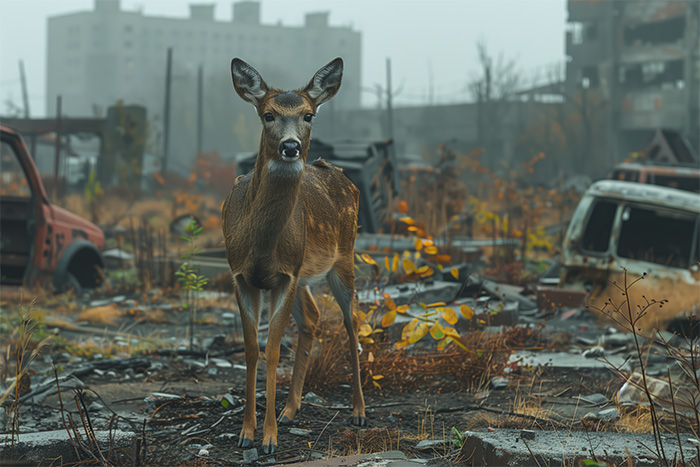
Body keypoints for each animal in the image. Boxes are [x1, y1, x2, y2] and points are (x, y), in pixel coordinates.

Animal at [221, 57, 366, 454]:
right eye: (267, 114)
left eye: (308, 115)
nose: (290, 146)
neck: (260, 245)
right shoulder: (242, 276)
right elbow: (252, 349)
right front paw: (247, 433)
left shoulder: (284, 276)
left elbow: (272, 349)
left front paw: (268, 438)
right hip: (304, 274)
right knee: (313, 318)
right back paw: (290, 409)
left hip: (344, 258)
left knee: (351, 321)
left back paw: (359, 411)